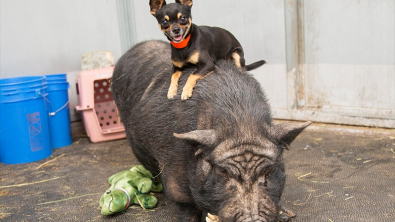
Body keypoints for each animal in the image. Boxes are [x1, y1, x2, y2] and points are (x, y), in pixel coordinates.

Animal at [112, 40, 312, 222]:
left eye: (268, 171)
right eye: (223, 171)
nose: (253, 219)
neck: (241, 124)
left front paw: (286, 214)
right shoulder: (173, 167)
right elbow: (184, 204)